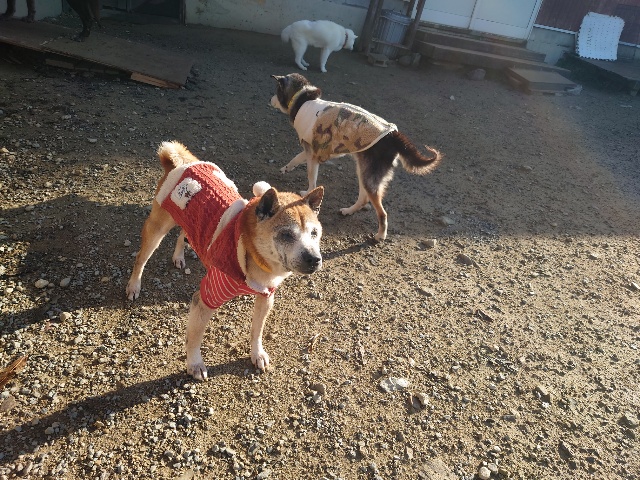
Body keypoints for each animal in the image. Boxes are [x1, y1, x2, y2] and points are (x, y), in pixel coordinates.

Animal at [126, 141, 324, 380]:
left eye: (314, 233)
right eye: (286, 235)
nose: (314, 259)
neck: (253, 256)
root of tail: (181, 163)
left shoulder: (266, 297)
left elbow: (257, 330)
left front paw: (257, 354)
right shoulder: (205, 298)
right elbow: (194, 337)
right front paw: (195, 365)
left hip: (187, 223)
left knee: (182, 234)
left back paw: (179, 257)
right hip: (157, 228)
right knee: (140, 259)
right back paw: (133, 286)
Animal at [270, 73, 442, 241]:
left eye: (276, 91)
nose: (269, 100)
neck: (302, 98)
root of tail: (394, 135)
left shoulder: (312, 153)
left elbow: (312, 179)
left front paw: (307, 193)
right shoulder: (310, 150)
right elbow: (296, 159)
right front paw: (286, 168)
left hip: (368, 177)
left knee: (382, 212)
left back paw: (381, 235)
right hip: (363, 171)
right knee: (364, 199)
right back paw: (348, 211)